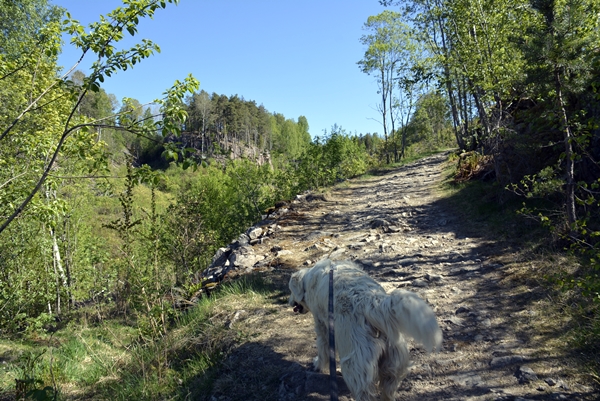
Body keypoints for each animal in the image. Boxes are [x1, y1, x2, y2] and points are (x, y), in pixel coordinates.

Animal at [288, 260, 442, 400]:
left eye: (290, 292)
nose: (289, 303)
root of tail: (373, 303)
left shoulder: (322, 327)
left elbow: (322, 350)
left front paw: (317, 365)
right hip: (393, 362)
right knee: (388, 389)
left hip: (354, 364)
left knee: (364, 392)